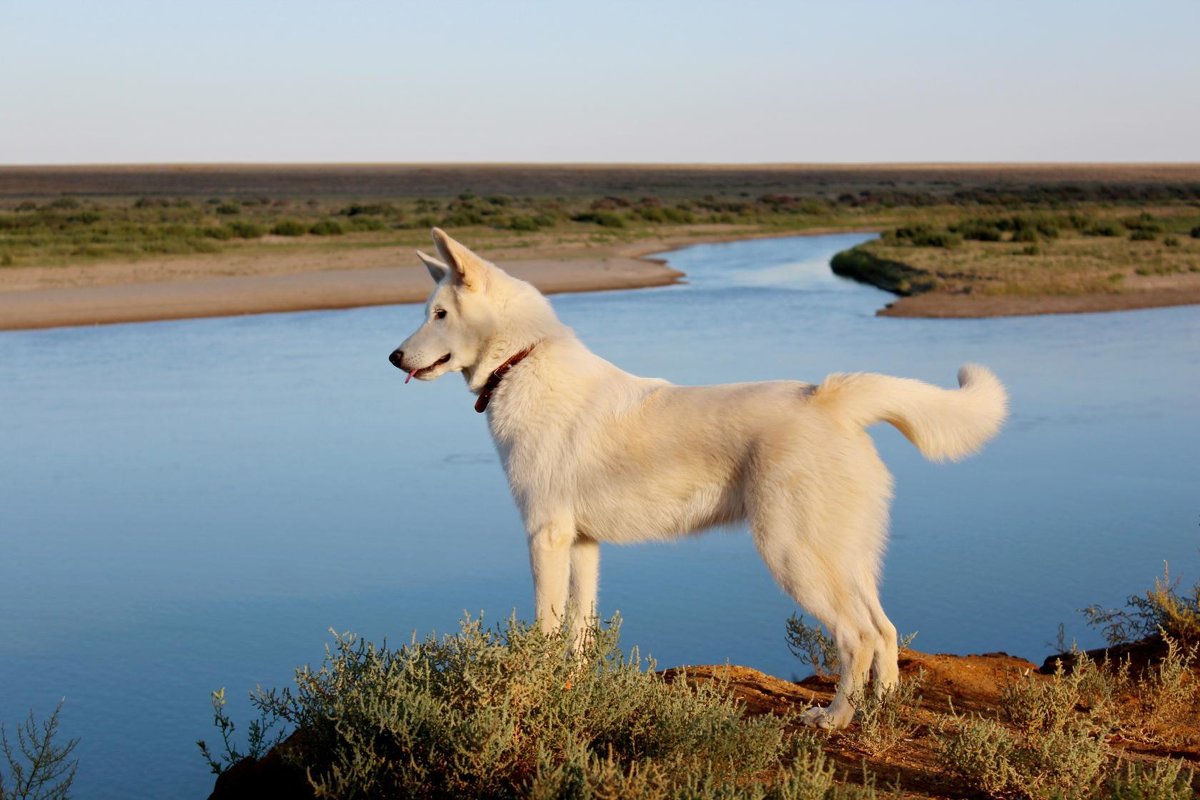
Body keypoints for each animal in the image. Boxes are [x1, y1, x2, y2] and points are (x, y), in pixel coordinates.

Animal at [391, 227, 1003, 729]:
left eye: (439, 314)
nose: (394, 357)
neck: (521, 362)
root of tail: (827, 397)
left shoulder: (547, 538)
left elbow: (545, 630)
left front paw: (536, 686)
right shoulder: (582, 546)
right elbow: (580, 635)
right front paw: (574, 690)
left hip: (794, 556)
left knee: (857, 636)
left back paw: (834, 718)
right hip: (846, 558)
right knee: (885, 630)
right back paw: (881, 709)